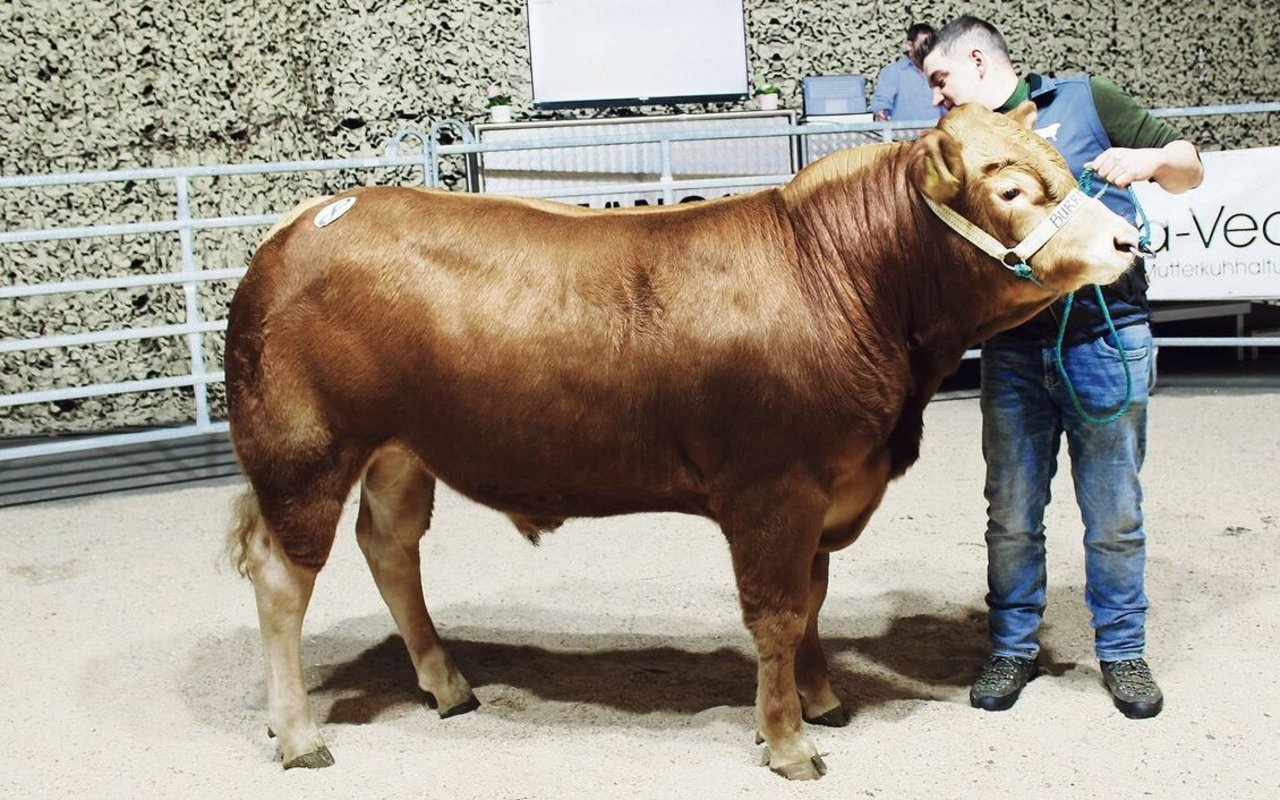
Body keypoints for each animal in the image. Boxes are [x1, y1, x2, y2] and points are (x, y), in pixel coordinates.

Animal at [225, 103, 1136, 778]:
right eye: (1012, 188)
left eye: (1067, 167)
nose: (1128, 240)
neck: (848, 280)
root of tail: (301, 222)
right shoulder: (774, 489)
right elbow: (777, 613)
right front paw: (788, 740)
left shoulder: (828, 489)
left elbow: (812, 600)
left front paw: (820, 701)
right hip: (305, 453)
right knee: (282, 577)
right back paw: (299, 734)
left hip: (400, 451)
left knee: (389, 547)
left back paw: (446, 683)